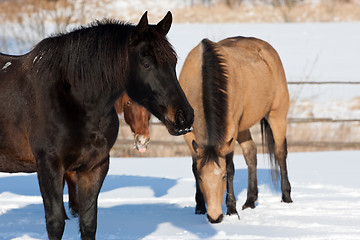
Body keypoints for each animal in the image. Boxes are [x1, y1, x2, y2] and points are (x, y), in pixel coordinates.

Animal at [0, 11, 194, 240]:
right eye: (146, 64)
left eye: (173, 62)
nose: (184, 117)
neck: (74, 100)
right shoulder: (49, 166)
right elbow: (55, 223)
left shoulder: (94, 168)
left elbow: (88, 223)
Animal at [180, 36, 292, 224]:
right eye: (202, 179)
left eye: (223, 177)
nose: (215, 217)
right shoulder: (189, 133)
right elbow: (195, 167)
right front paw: (200, 207)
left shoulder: (230, 130)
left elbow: (230, 166)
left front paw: (231, 209)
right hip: (243, 127)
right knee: (251, 153)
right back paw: (250, 201)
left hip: (277, 115)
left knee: (279, 152)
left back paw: (286, 197)